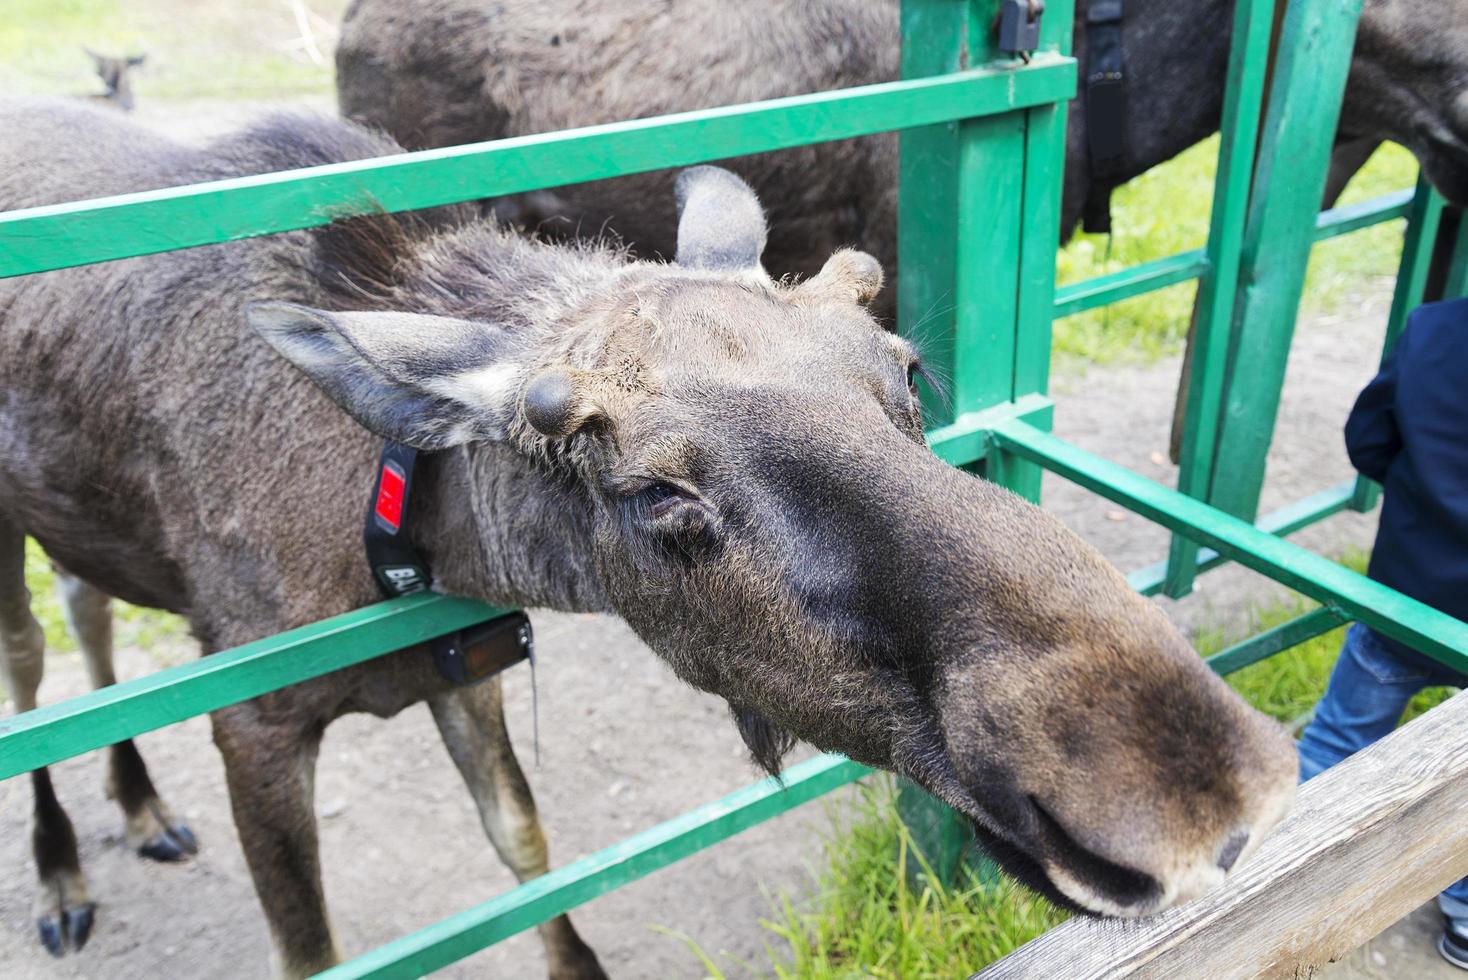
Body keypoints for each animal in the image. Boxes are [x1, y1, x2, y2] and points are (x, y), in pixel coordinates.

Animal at [0, 97, 1297, 974]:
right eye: (651, 493)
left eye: (908, 369)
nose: (1192, 793)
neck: (401, 534)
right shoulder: (257, 723)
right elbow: (314, 946)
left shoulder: (460, 662)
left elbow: (525, 843)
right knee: (29, 667)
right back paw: (64, 873)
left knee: (87, 606)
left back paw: (139, 806)